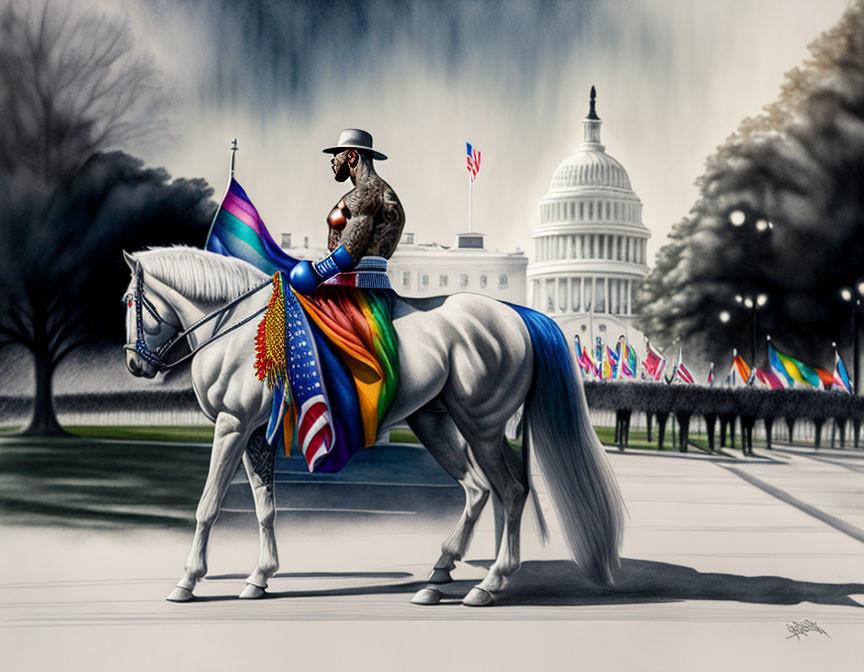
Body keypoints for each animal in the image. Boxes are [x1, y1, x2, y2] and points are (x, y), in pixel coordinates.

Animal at [121, 247, 620, 604]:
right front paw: (260, 577)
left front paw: (188, 581)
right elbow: (265, 507)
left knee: (509, 490)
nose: (133, 364)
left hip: (481, 426)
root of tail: (516, 312)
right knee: (486, 490)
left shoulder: (232, 425)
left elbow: (208, 505)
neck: (238, 327)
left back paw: (488, 583)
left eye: (130, 300)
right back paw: (447, 575)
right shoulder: (253, 433)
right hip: (440, 424)